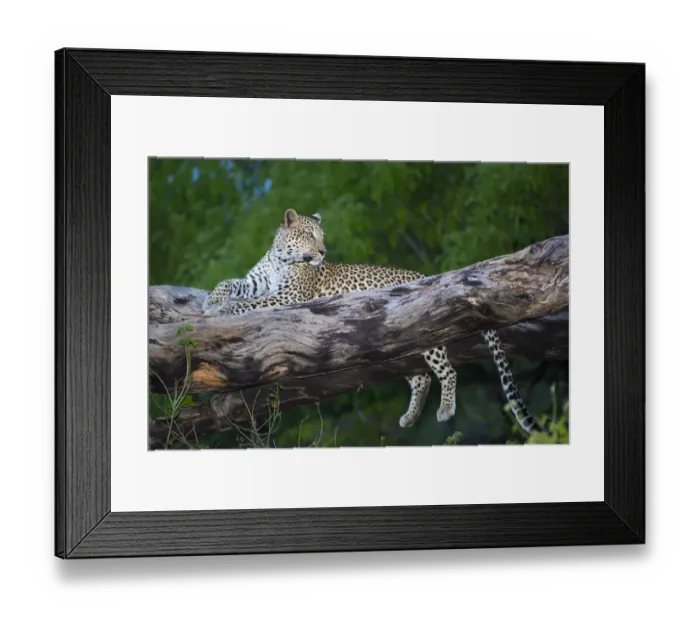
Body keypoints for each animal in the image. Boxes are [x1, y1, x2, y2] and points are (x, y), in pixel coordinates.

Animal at [202, 208, 541, 435]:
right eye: (311, 235)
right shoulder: (256, 282)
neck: (281, 258)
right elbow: (228, 283)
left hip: (427, 331)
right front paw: (211, 301)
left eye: (322, 237)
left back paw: (445, 409)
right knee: (421, 378)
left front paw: (223, 310)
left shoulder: (288, 297)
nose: (323, 251)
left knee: (447, 371)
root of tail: (424, 275)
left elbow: (249, 304)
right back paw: (411, 417)